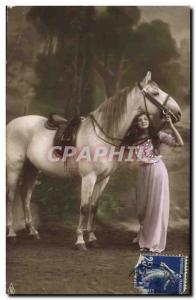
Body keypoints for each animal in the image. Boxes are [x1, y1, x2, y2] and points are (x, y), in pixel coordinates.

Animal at [6, 71, 181, 250]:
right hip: (14, 168)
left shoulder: (103, 179)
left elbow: (93, 207)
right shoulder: (88, 178)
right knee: (11, 197)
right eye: (155, 93)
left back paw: (33, 231)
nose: (177, 113)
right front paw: (80, 241)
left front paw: (92, 238)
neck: (102, 135)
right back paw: (12, 234)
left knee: (25, 195)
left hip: (32, 168)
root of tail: (12, 124)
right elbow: (84, 207)